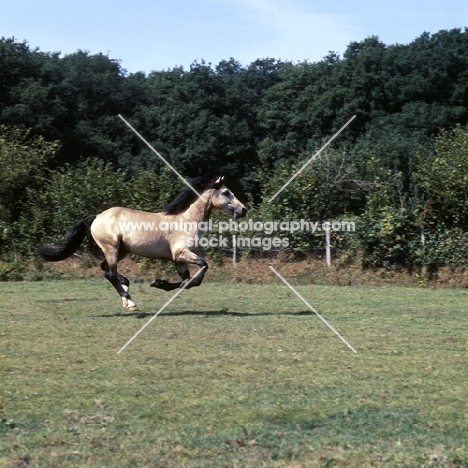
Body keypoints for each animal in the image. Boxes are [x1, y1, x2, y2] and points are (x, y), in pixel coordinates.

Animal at [38, 176, 247, 310]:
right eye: (226, 192)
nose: (243, 209)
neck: (185, 220)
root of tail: (96, 217)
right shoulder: (181, 253)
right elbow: (201, 269)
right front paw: (158, 283)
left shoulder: (178, 260)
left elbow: (187, 281)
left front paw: (159, 283)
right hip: (111, 248)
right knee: (109, 273)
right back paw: (130, 302)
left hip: (121, 250)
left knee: (106, 269)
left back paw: (125, 289)